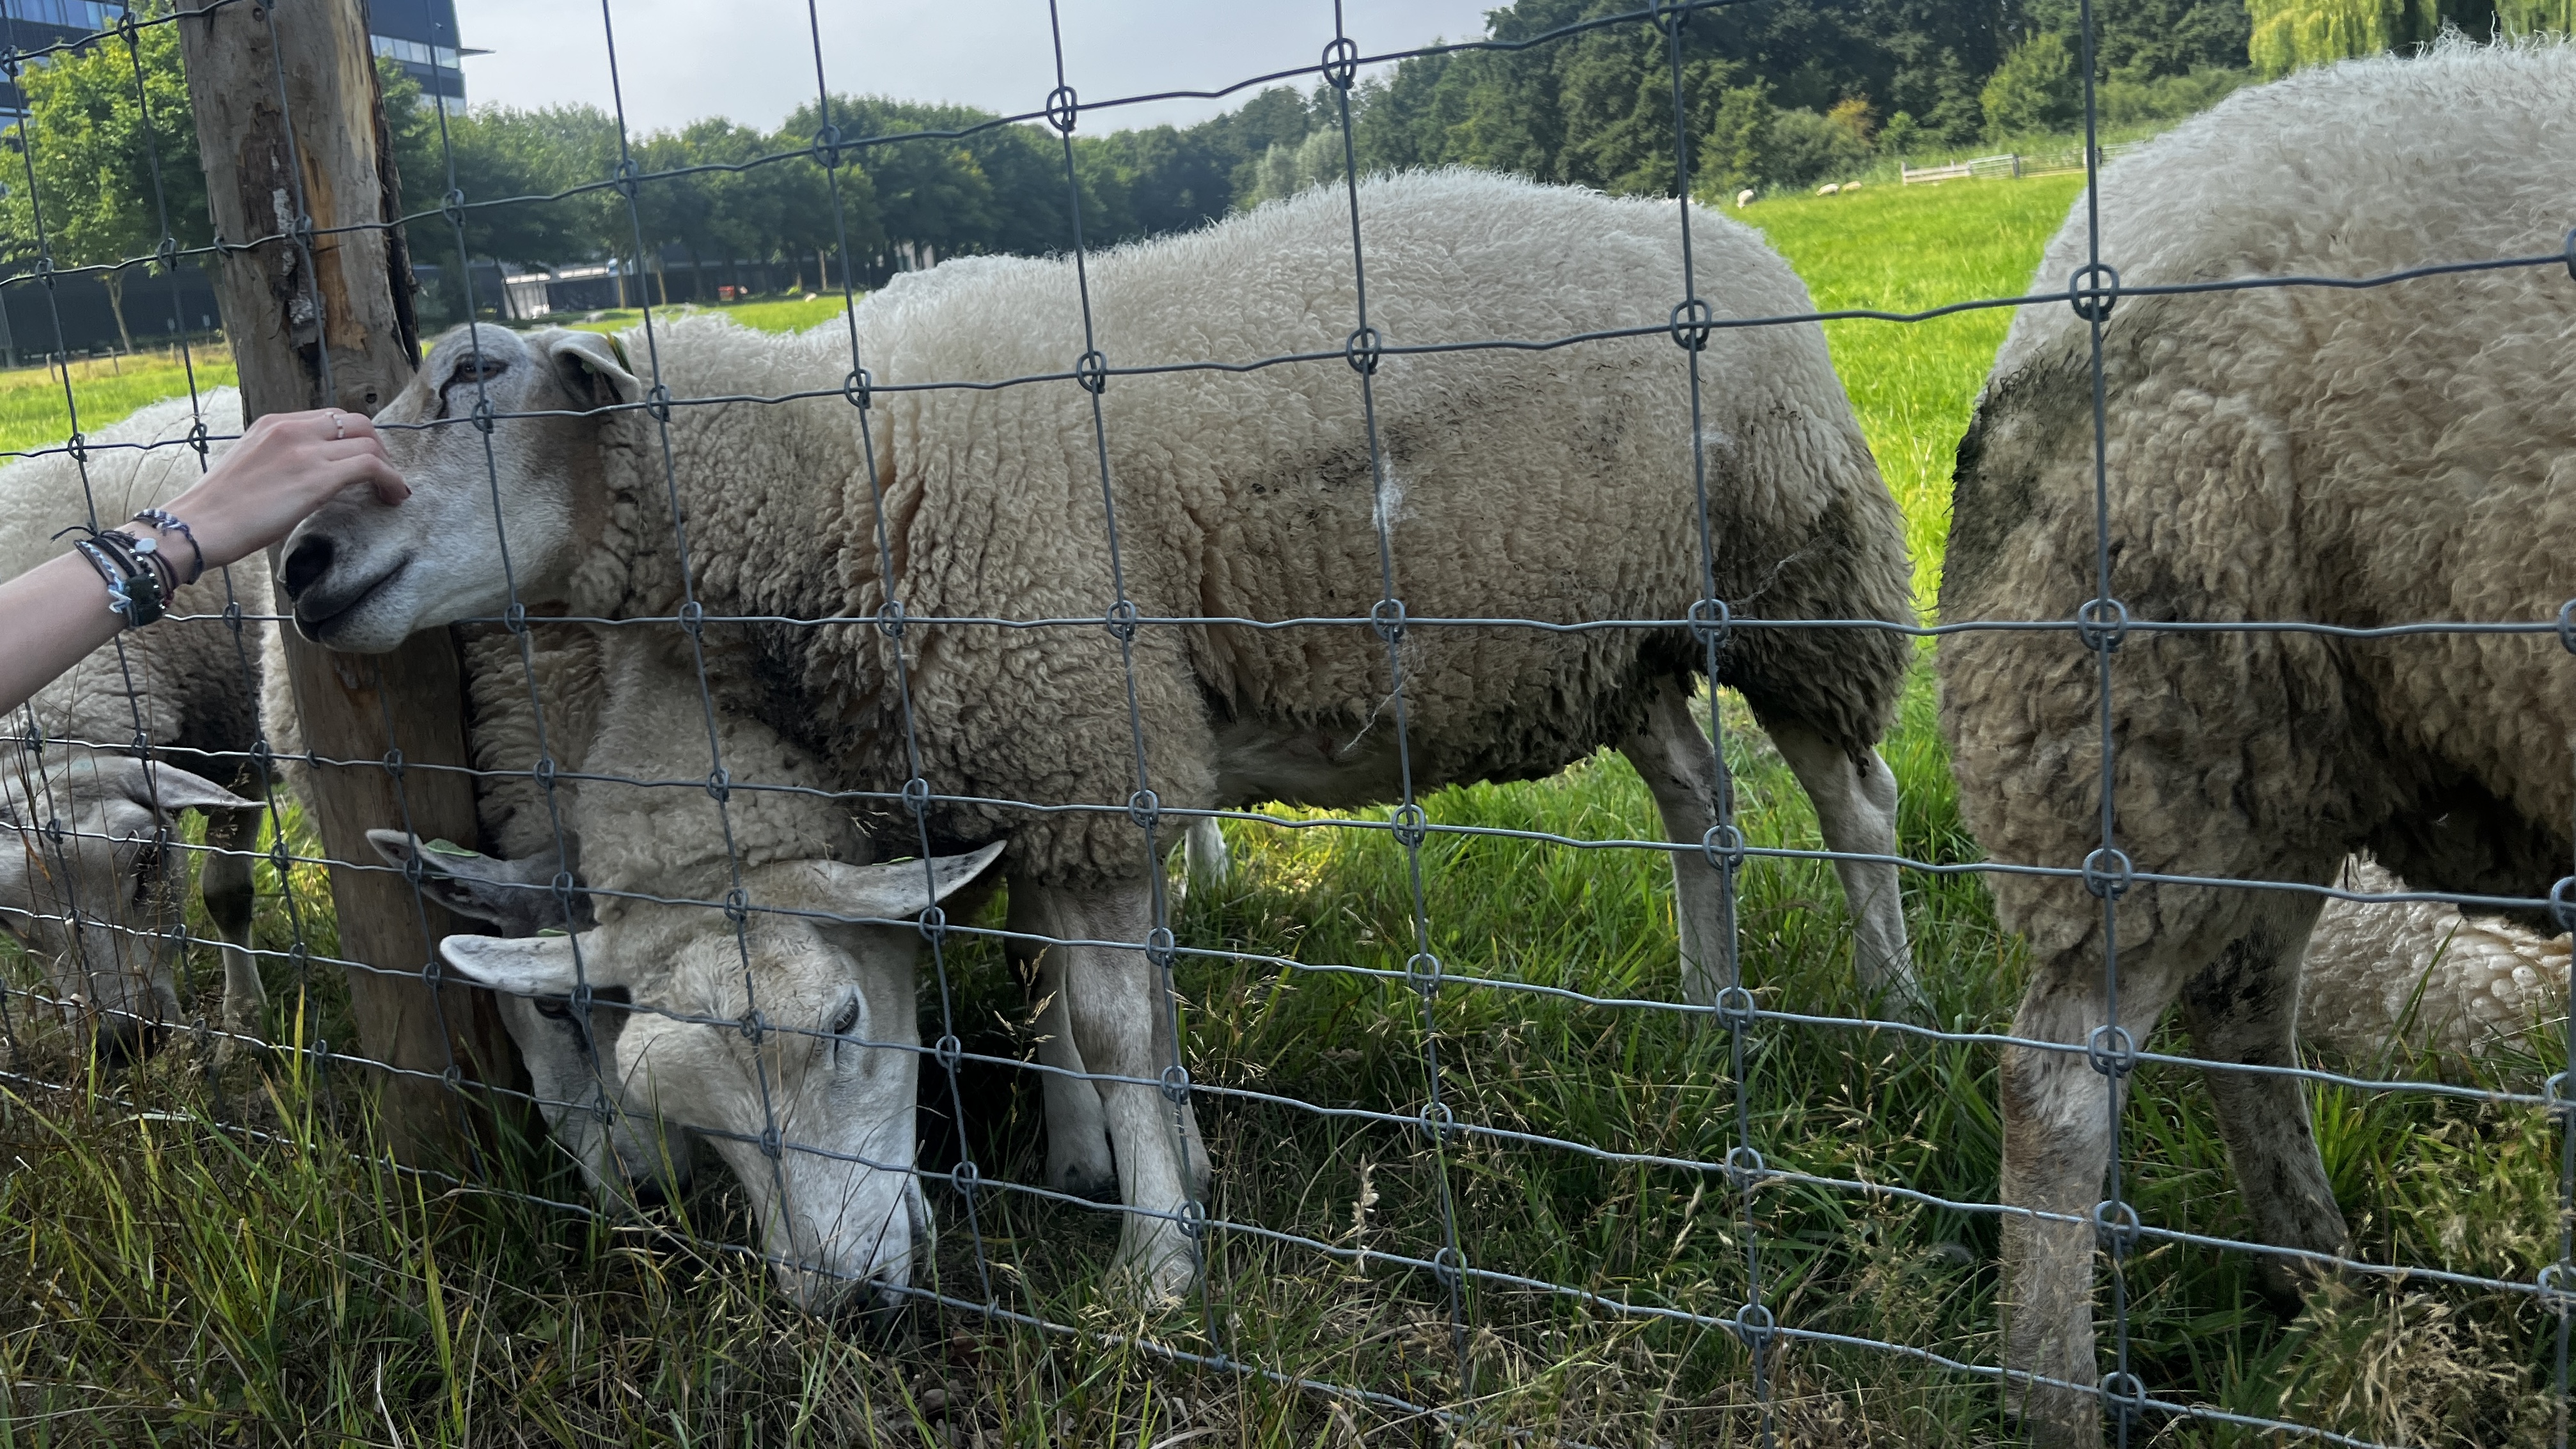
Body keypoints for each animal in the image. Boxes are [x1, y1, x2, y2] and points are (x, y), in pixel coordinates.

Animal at [0, 391, 269, 1062]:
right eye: (8, 921)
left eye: (148, 864)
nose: (124, 1039)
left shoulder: (241, 753)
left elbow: (225, 894)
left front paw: (244, 1027)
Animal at [276, 168, 1921, 1297]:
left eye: (473, 380)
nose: (296, 565)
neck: (840, 456)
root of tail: (1721, 227)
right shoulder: (1053, 767)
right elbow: (1097, 1000)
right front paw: (1155, 1171)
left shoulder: (1087, 740)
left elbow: (1115, 1019)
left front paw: (1155, 1264)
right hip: (1613, 638)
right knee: (1699, 795)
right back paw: (1709, 1011)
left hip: (1794, 575)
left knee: (1855, 798)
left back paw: (1893, 1017)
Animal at [1936, 42, 2576, 1444]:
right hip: (2152, 726)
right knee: (2052, 1082)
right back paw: (2058, 1396)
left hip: (2291, 758)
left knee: (2237, 1007)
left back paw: (2324, 1279)